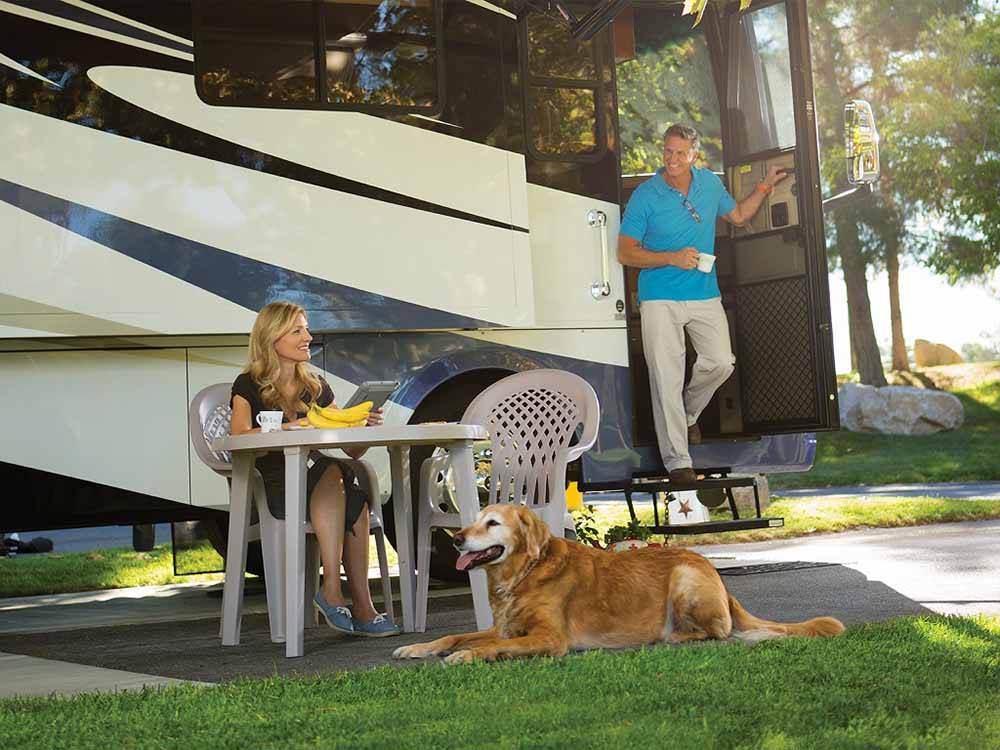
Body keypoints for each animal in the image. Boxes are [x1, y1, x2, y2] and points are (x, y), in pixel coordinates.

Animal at [390, 506, 844, 664]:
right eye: (472, 520)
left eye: (492, 523)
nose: (455, 539)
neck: (524, 573)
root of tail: (712, 568)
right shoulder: (503, 626)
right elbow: (453, 635)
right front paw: (418, 647)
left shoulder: (550, 638)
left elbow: (487, 647)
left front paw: (467, 656)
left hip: (685, 580)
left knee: (719, 631)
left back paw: (673, 636)